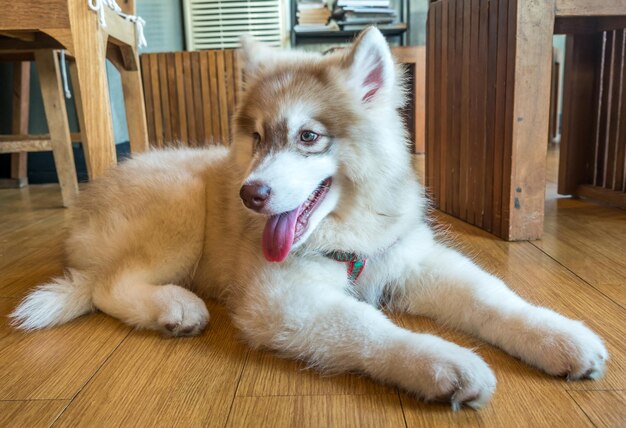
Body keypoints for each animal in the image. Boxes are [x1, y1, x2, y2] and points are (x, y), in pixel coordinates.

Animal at [11, 28, 604, 410]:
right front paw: (443, 363)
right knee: (108, 285)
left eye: (309, 136)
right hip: (178, 207)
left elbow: (493, 297)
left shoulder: (411, 261)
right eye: (256, 138)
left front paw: (560, 337)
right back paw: (175, 308)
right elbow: (366, 326)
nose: (249, 194)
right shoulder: (281, 299)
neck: (348, 234)